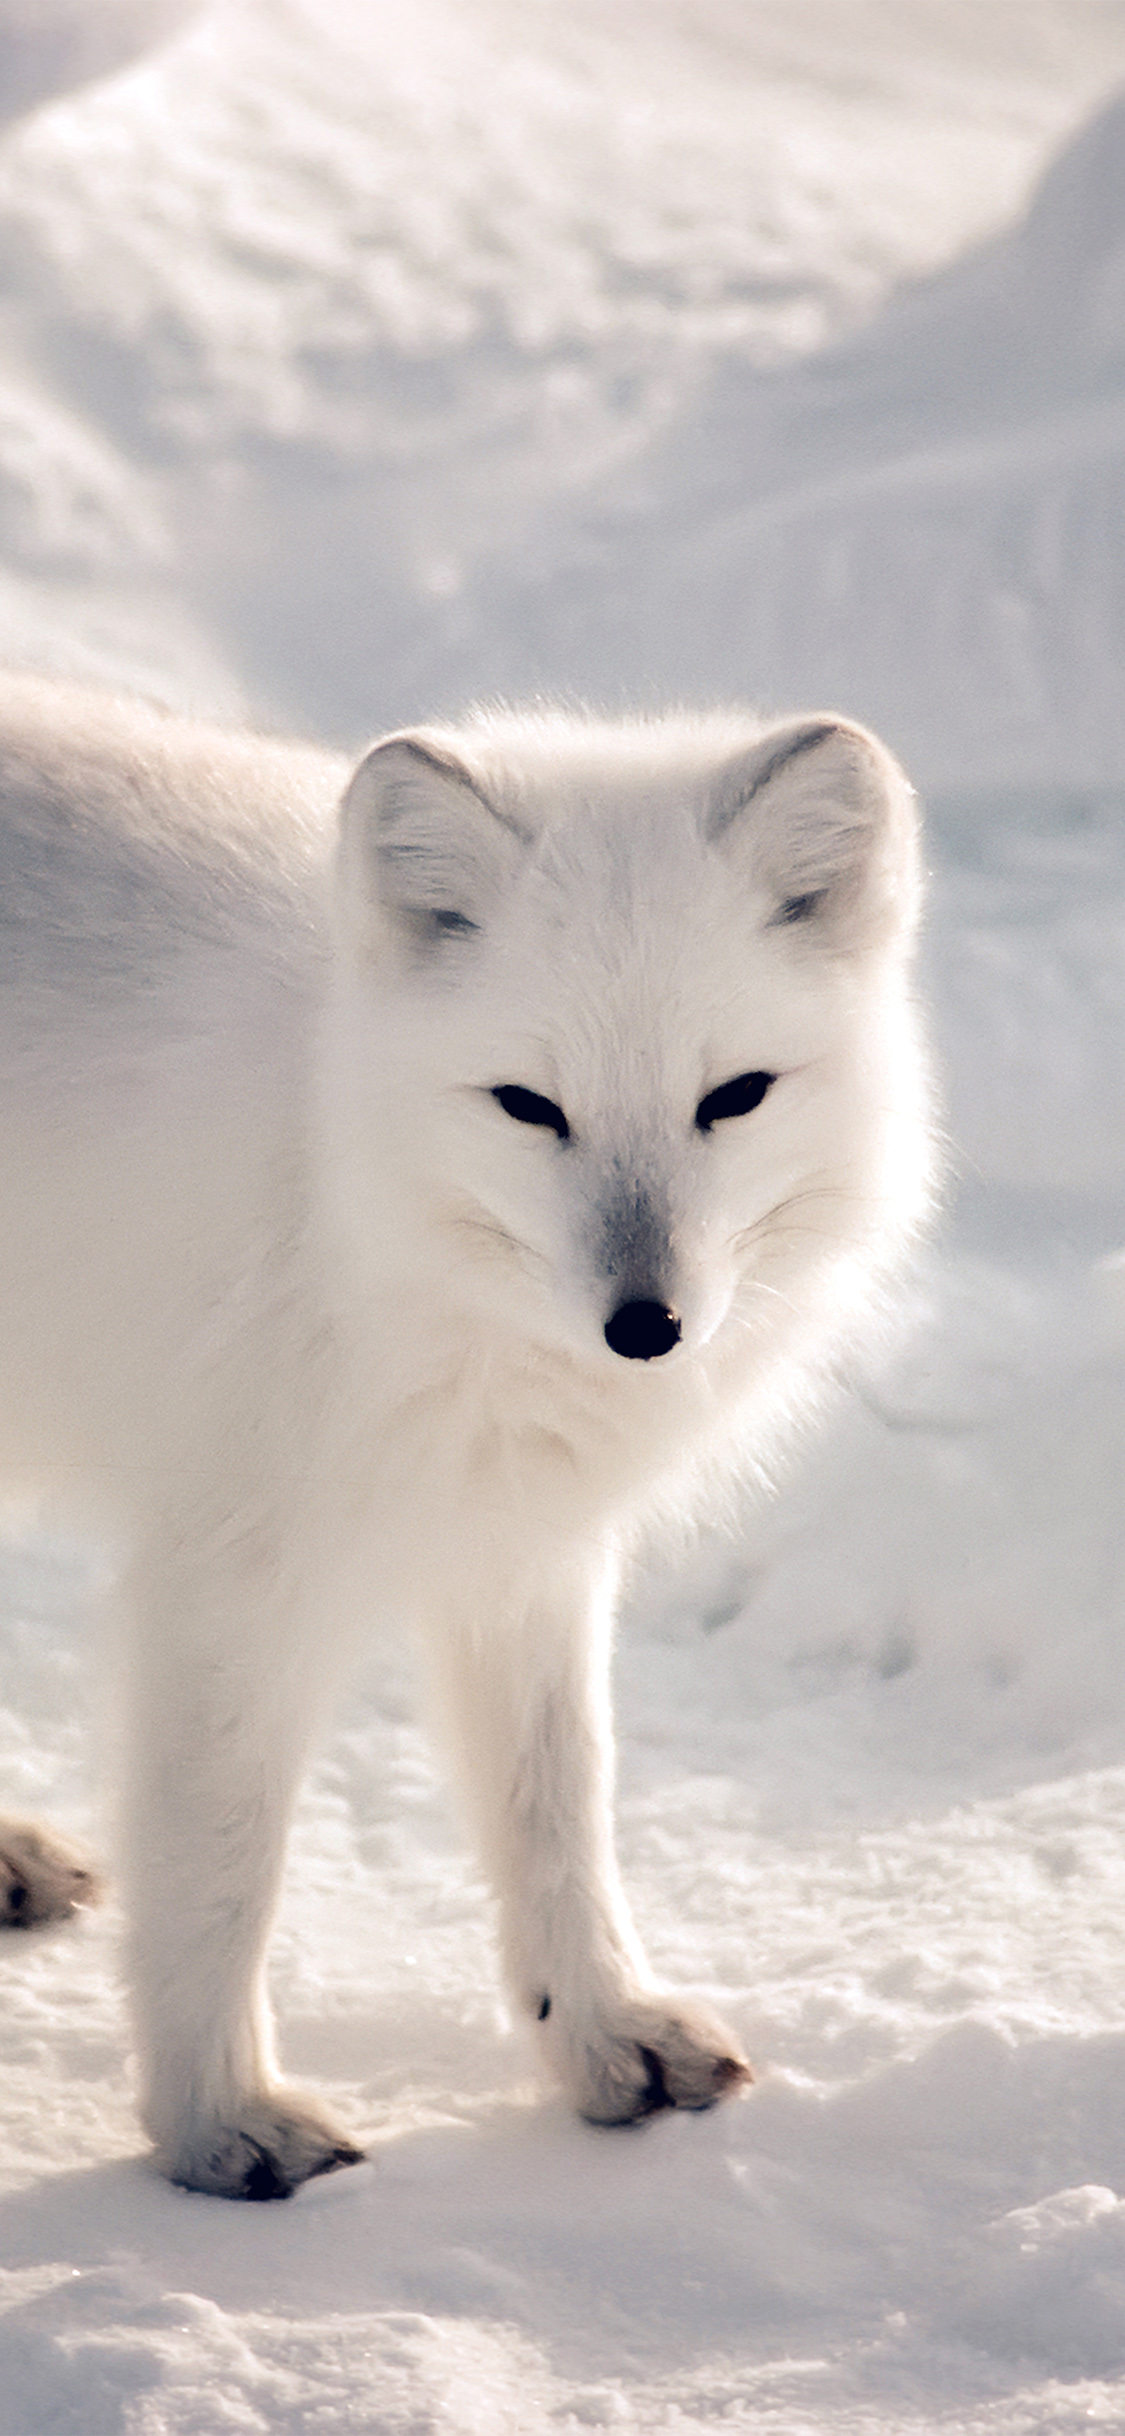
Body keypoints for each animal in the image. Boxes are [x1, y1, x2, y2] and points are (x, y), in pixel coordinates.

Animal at [0, 673, 933, 2198]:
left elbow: (558, 1804)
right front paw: (216, 2124)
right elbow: (219, 1860)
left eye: (733, 1096)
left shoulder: (521, 1547)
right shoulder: (231, 1575)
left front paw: (601, 2037)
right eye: (528, 1106)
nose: (645, 1327)